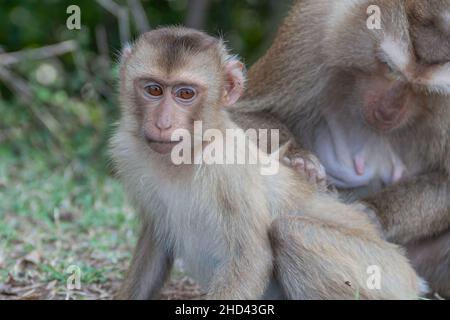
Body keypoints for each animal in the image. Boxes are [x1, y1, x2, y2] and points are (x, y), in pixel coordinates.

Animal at [111, 27, 426, 300]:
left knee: (289, 233)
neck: (188, 154)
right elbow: (156, 240)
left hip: (387, 275)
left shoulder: (229, 169)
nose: (163, 123)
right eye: (153, 90)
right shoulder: (132, 156)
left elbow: (250, 262)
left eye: (185, 93)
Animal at [232, 0, 450, 298]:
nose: (388, 111)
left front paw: (371, 213)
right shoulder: (312, 25)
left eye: (423, 90)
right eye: (389, 67)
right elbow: (240, 114)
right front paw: (301, 160)